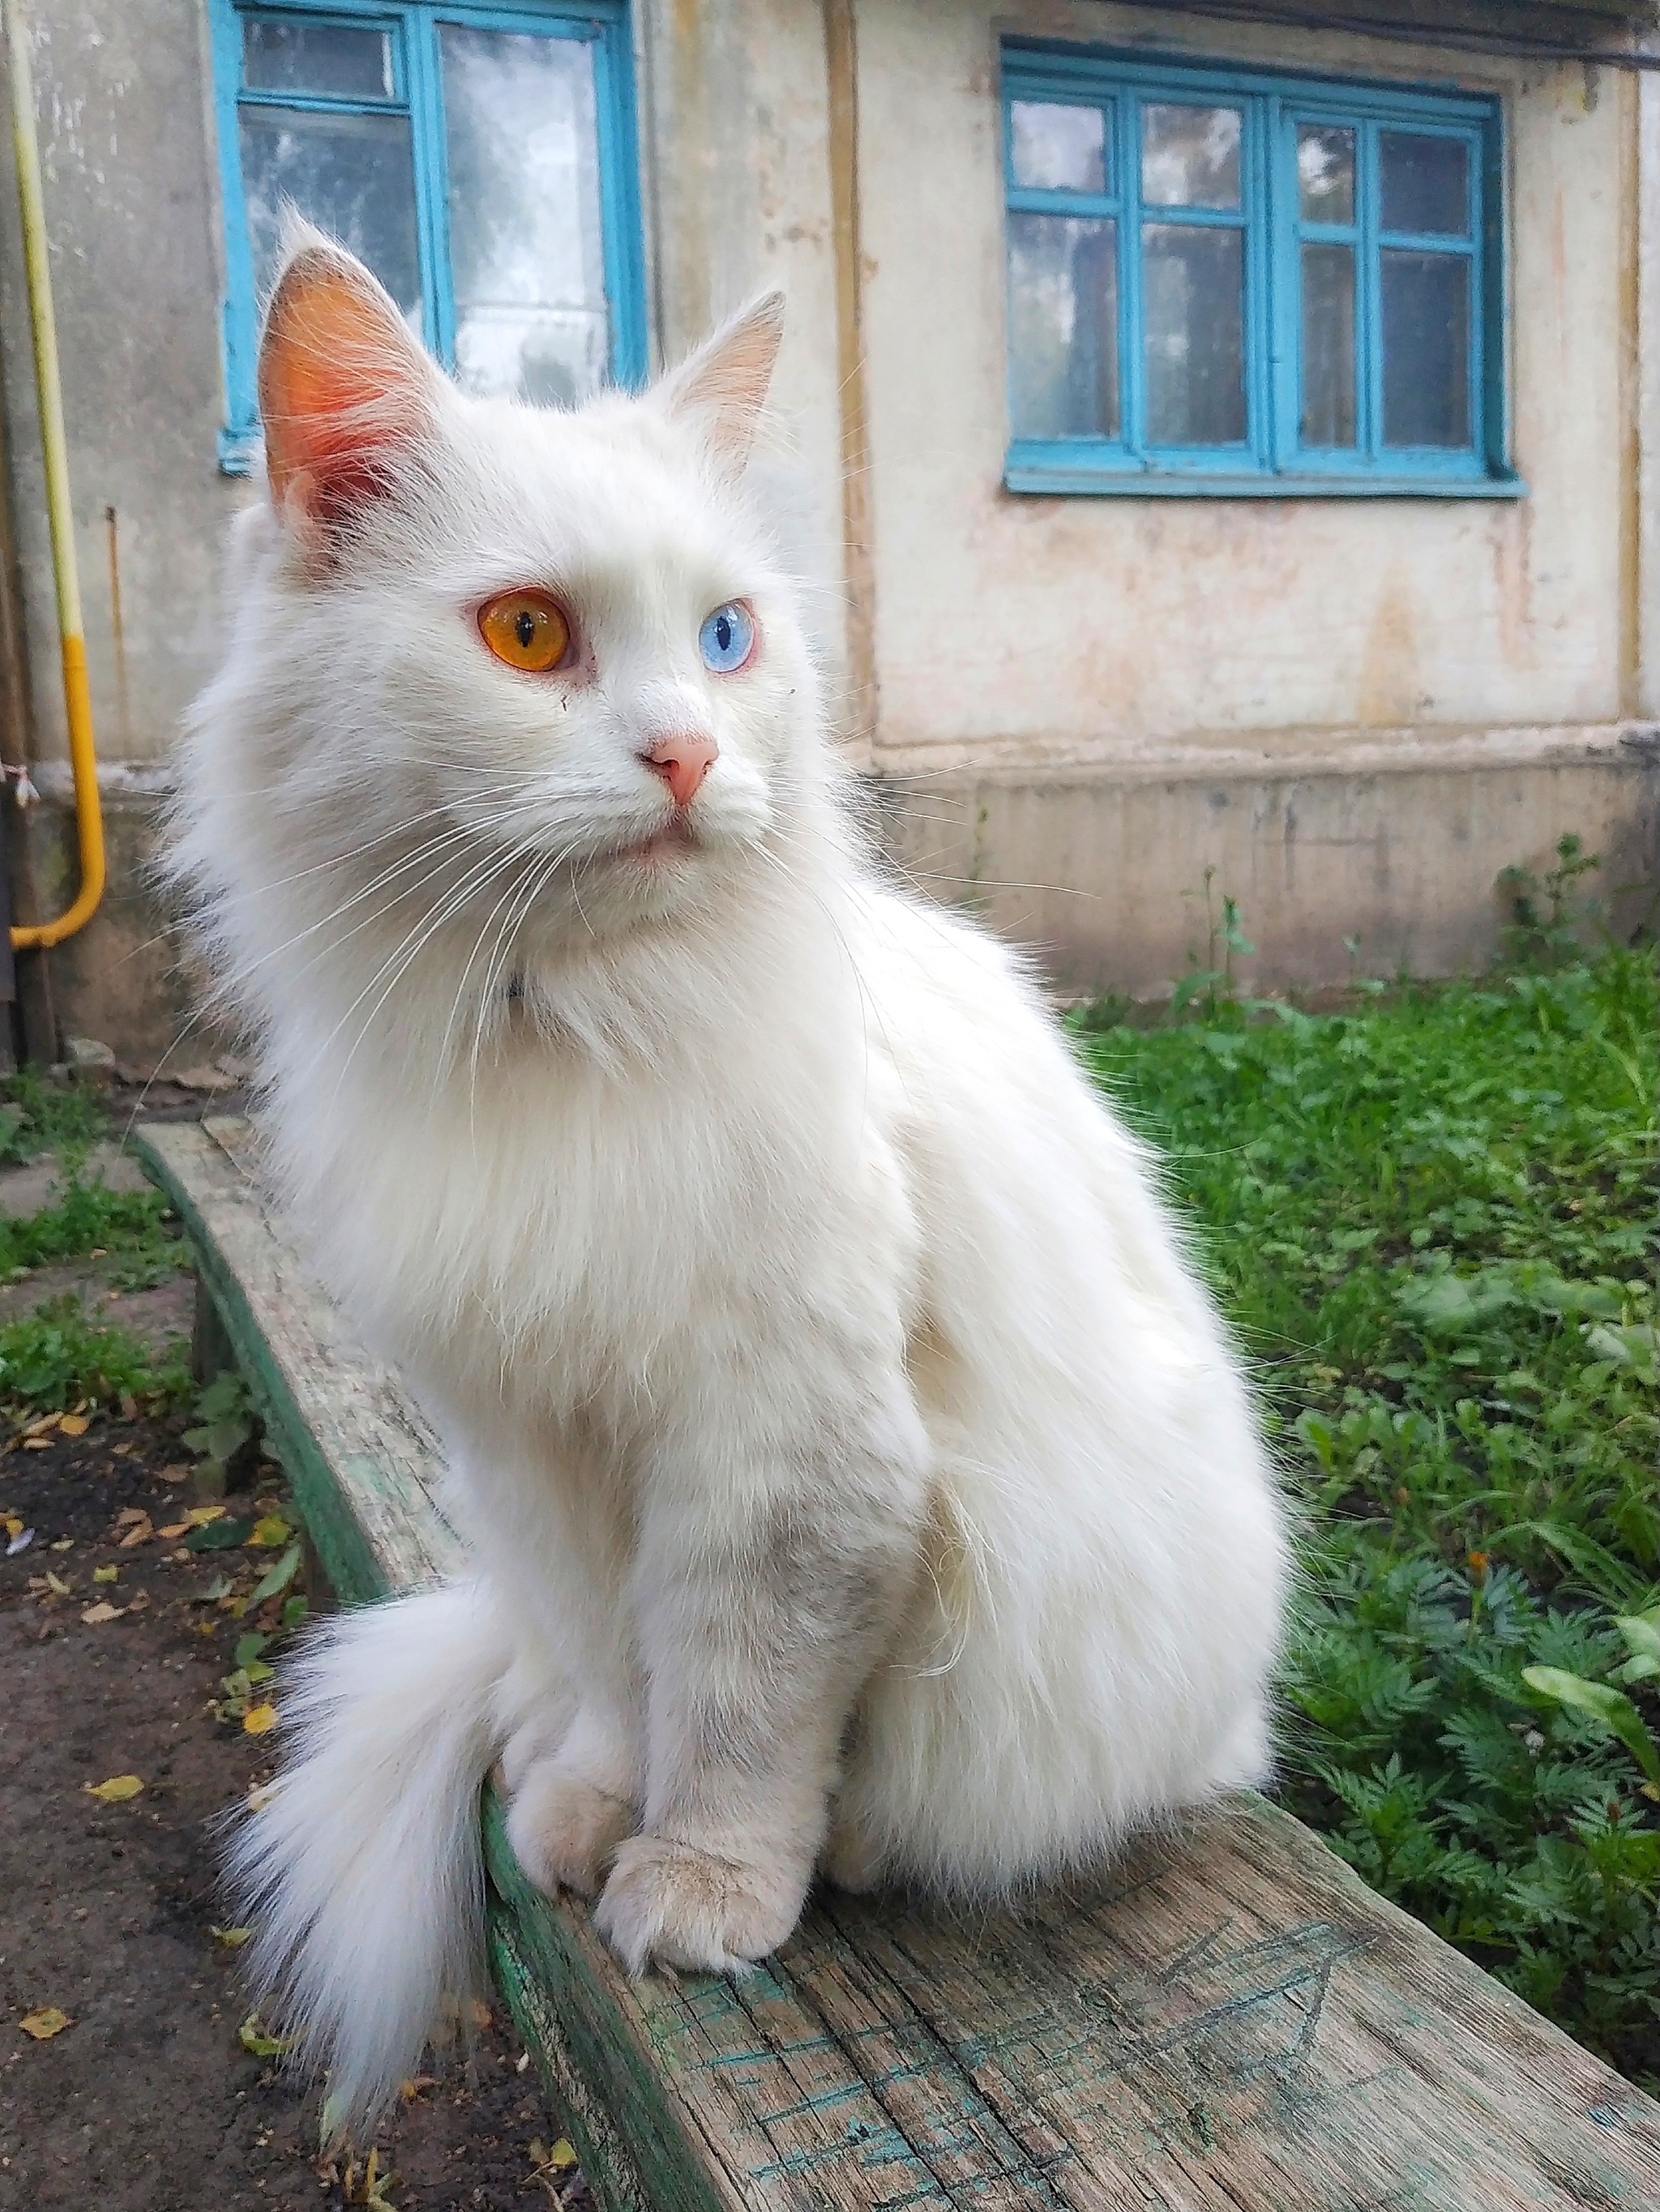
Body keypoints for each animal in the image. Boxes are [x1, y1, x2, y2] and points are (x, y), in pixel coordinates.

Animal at [165, 233, 1283, 2132]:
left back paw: (848, 1852)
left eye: (724, 636)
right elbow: (627, 1677)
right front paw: (590, 1813)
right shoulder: (535, 1445)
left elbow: (742, 1714)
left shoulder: (785, 1460)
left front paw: (700, 1886)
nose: (687, 753)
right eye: (527, 635)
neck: (564, 1026)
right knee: (547, 1669)